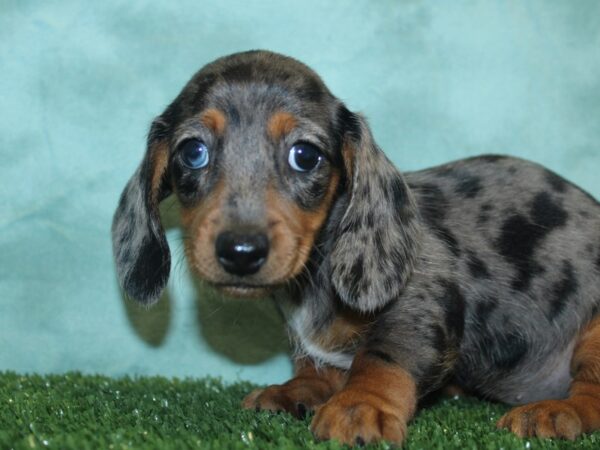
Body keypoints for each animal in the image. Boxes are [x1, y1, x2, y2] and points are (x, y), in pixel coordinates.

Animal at [112, 50, 600, 446]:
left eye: (305, 155)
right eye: (193, 152)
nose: (241, 251)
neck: (319, 268)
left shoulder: (421, 302)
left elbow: (380, 358)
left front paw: (360, 406)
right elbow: (315, 367)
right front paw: (297, 391)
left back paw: (555, 412)